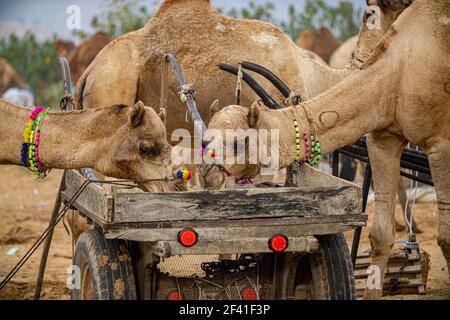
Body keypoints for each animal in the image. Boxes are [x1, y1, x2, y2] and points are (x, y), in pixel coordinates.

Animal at [210, 0, 450, 300]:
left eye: (237, 141)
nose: (210, 167)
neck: (403, 67)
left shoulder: (440, 144)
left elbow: (446, 238)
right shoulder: (383, 140)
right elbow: (380, 235)